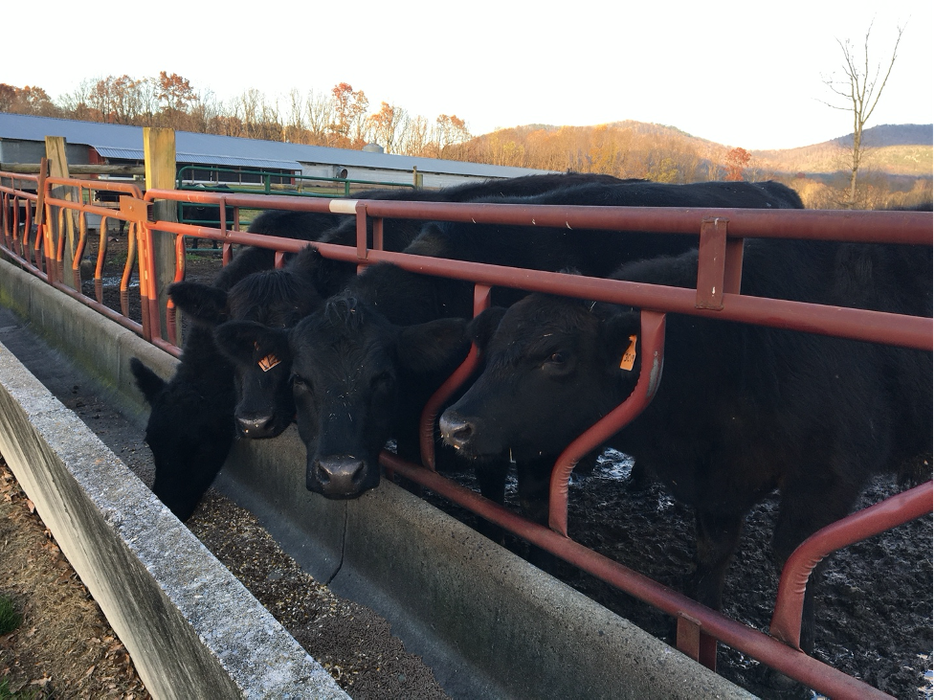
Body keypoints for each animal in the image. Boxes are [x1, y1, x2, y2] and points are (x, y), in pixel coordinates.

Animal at [437, 235, 934, 655]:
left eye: (557, 356)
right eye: (493, 348)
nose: (452, 424)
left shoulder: (829, 476)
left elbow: (799, 565)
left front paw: (789, 668)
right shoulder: (720, 479)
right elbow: (713, 550)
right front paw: (702, 618)